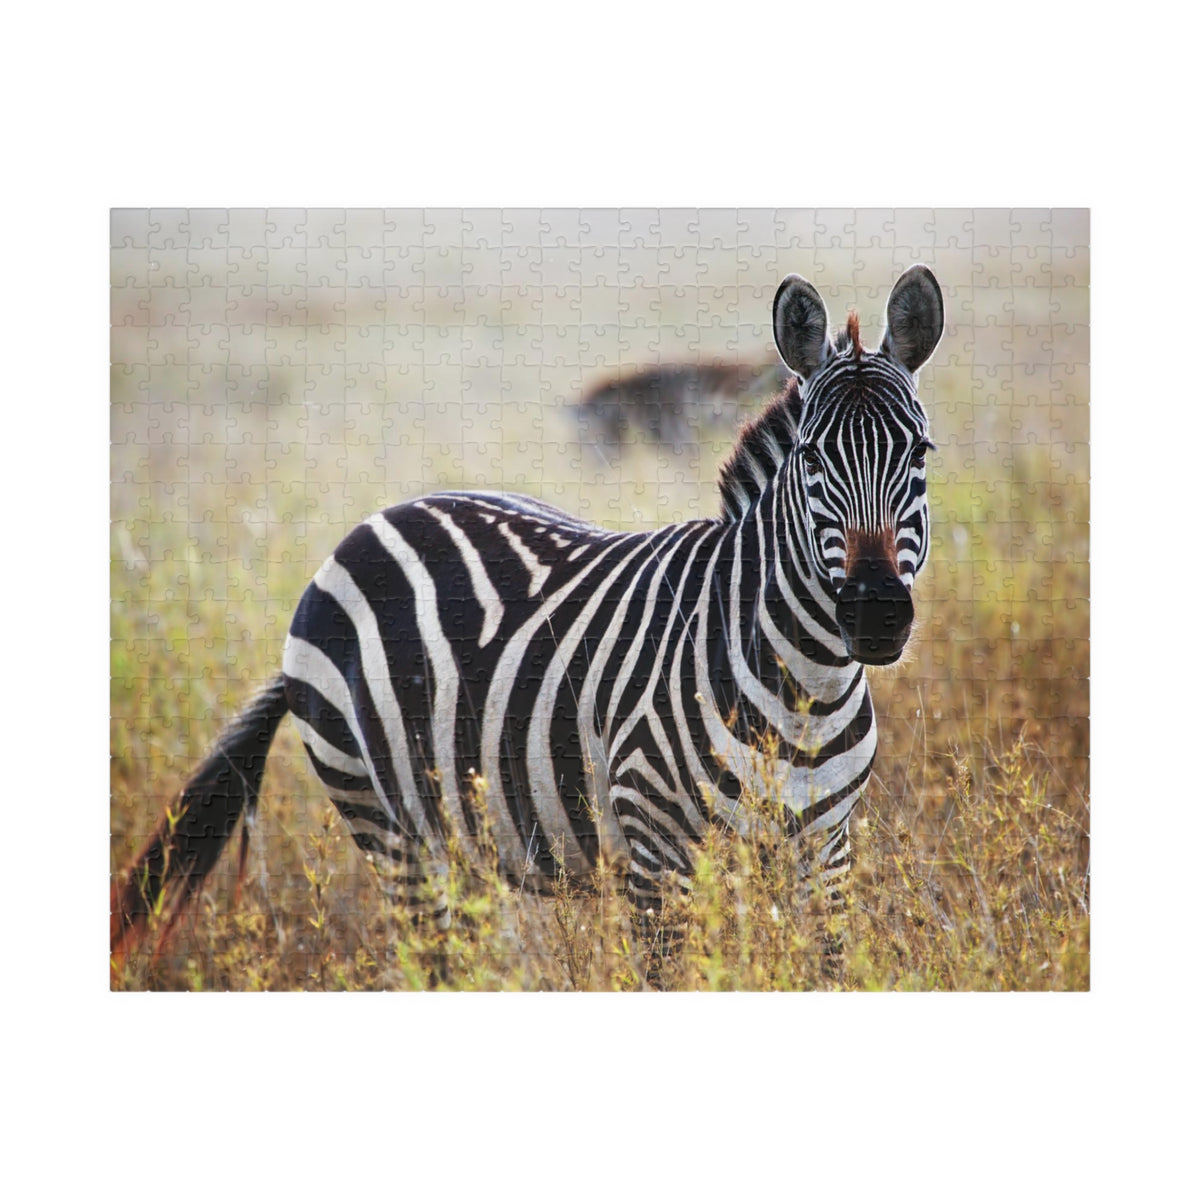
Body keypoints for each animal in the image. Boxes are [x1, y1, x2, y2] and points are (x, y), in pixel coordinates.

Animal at [111, 265, 944, 980]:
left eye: (921, 451)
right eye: (811, 459)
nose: (874, 615)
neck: (805, 684)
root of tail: (369, 526)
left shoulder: (826, 852)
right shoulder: (657, 853)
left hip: (465, 832)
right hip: (387, 825)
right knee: (429, 961)